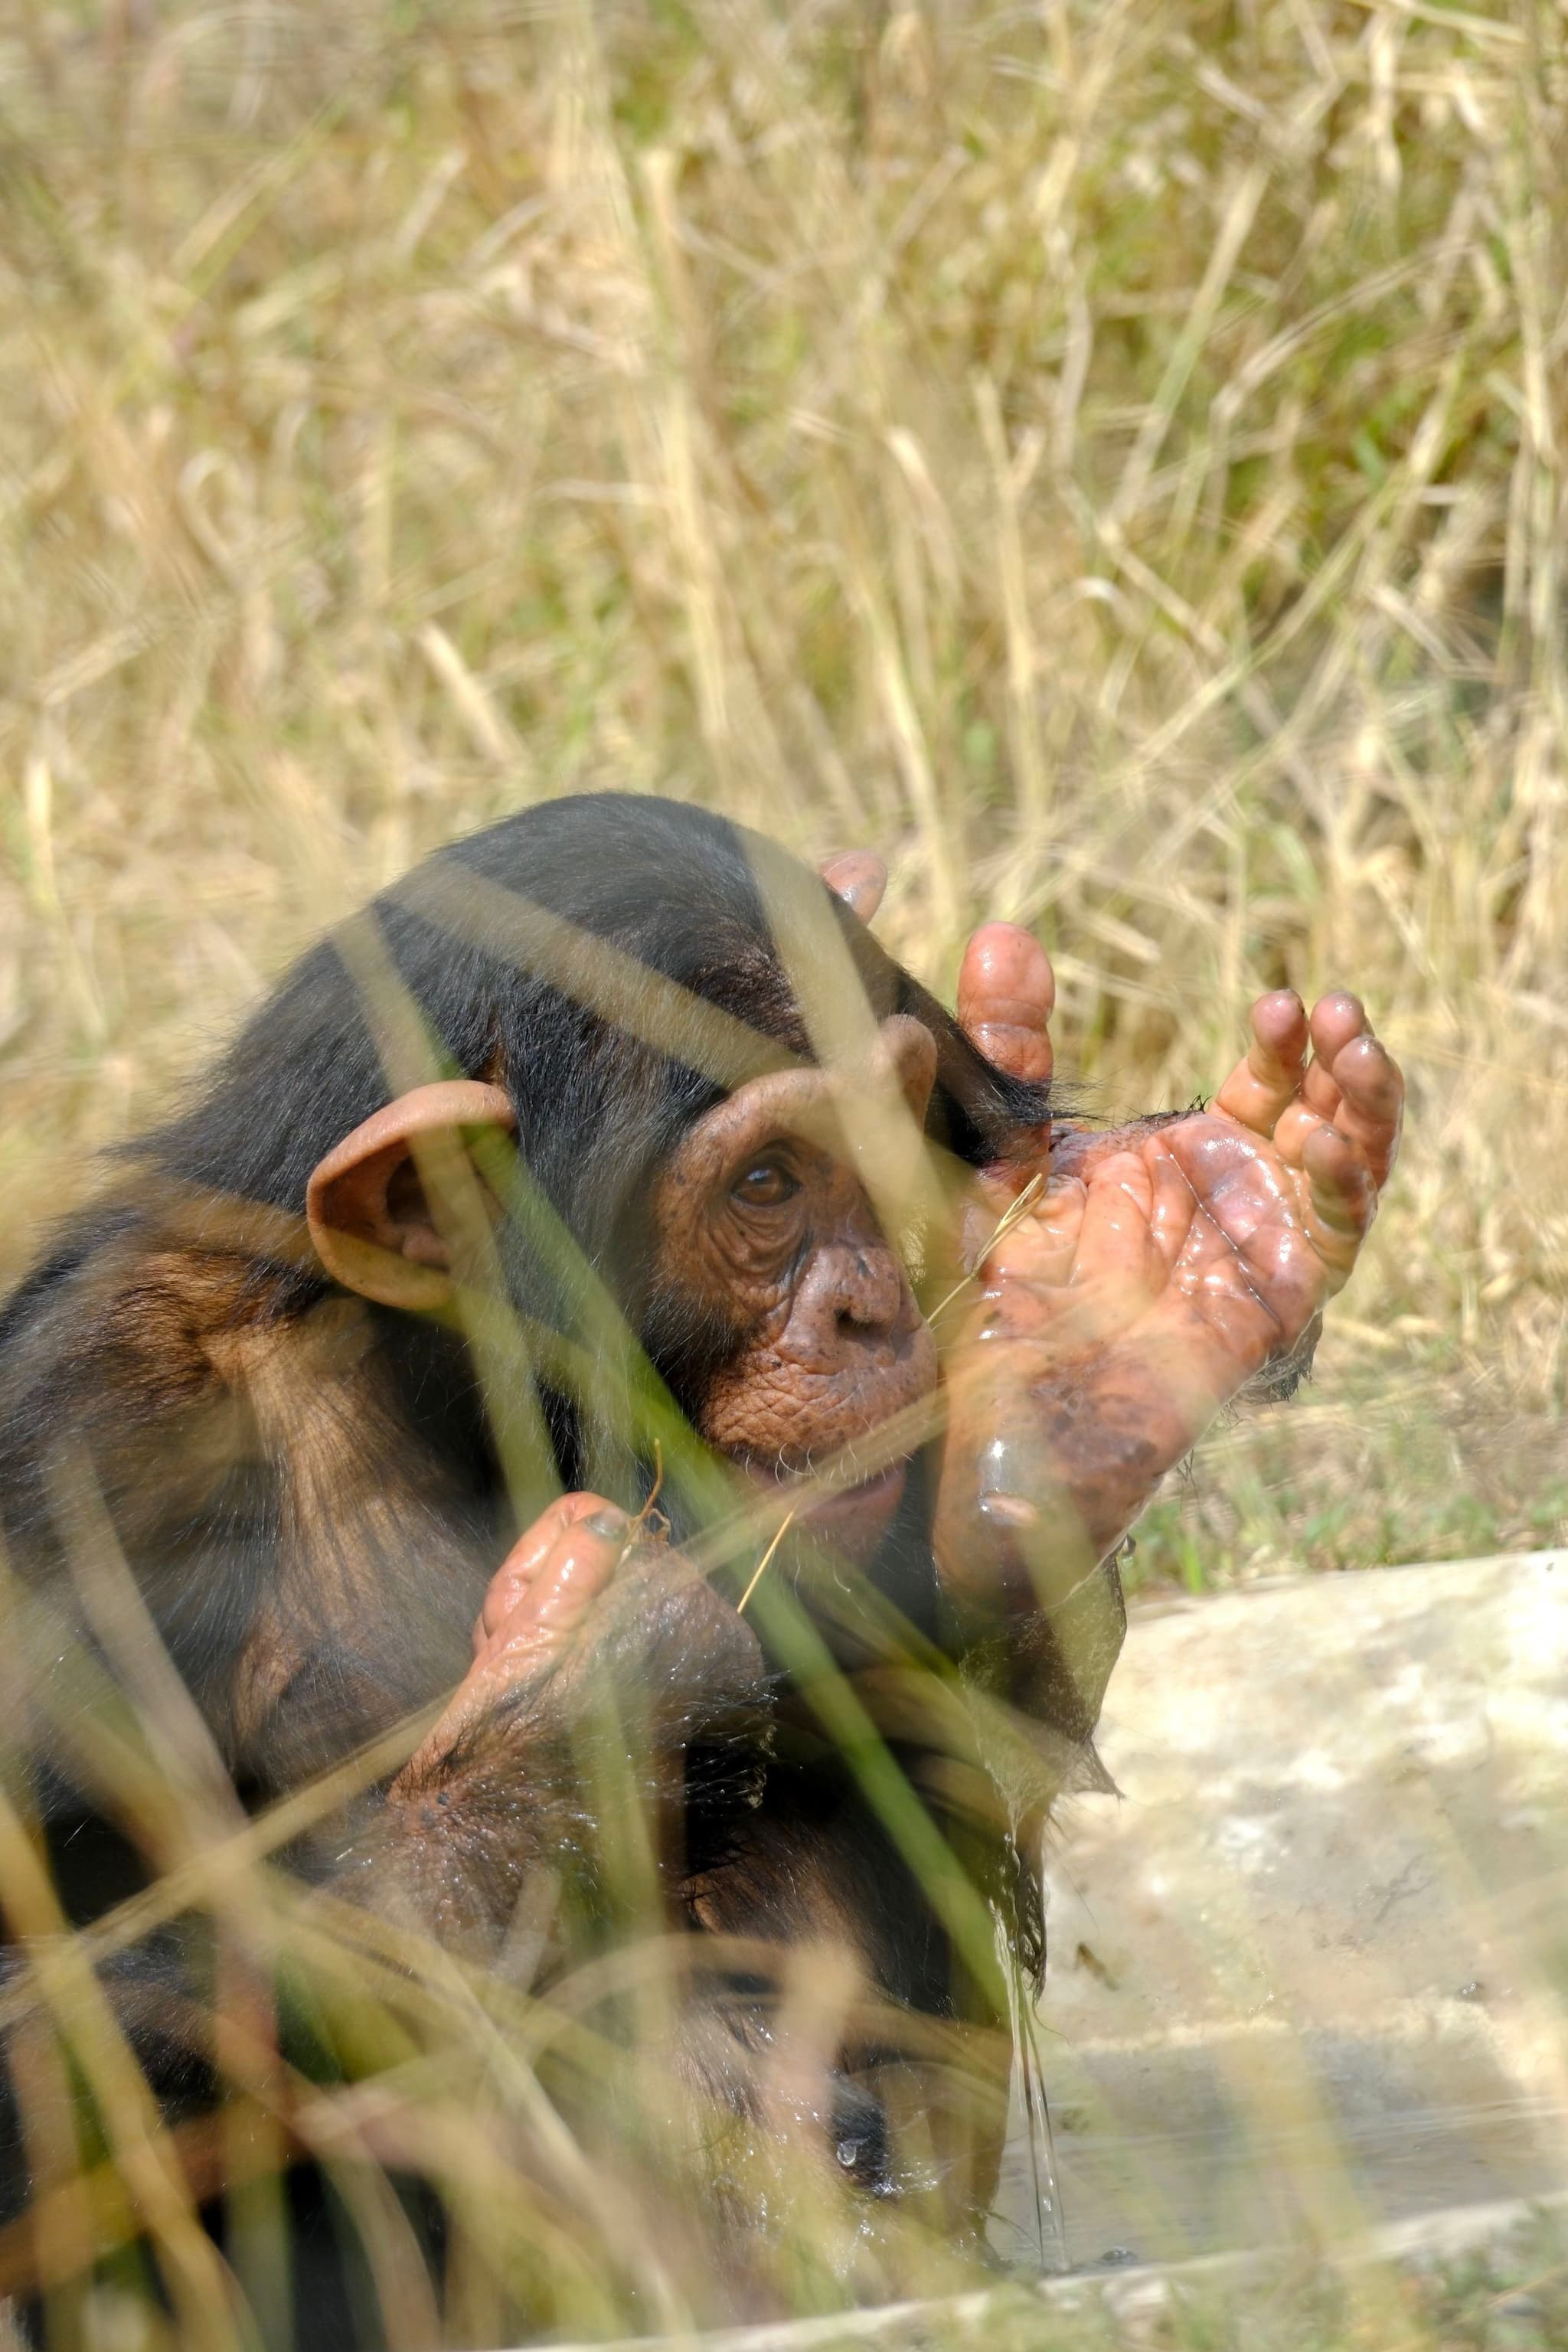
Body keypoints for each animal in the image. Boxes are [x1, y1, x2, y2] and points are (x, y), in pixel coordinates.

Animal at [0, 792, 1404, 2336]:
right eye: (768, 1182)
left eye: (883, 1129)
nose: (873, 1304)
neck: (442, 1397)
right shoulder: (81, 1465)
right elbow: (55, 2022)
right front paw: (579, 1710)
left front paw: (1090, 1340)